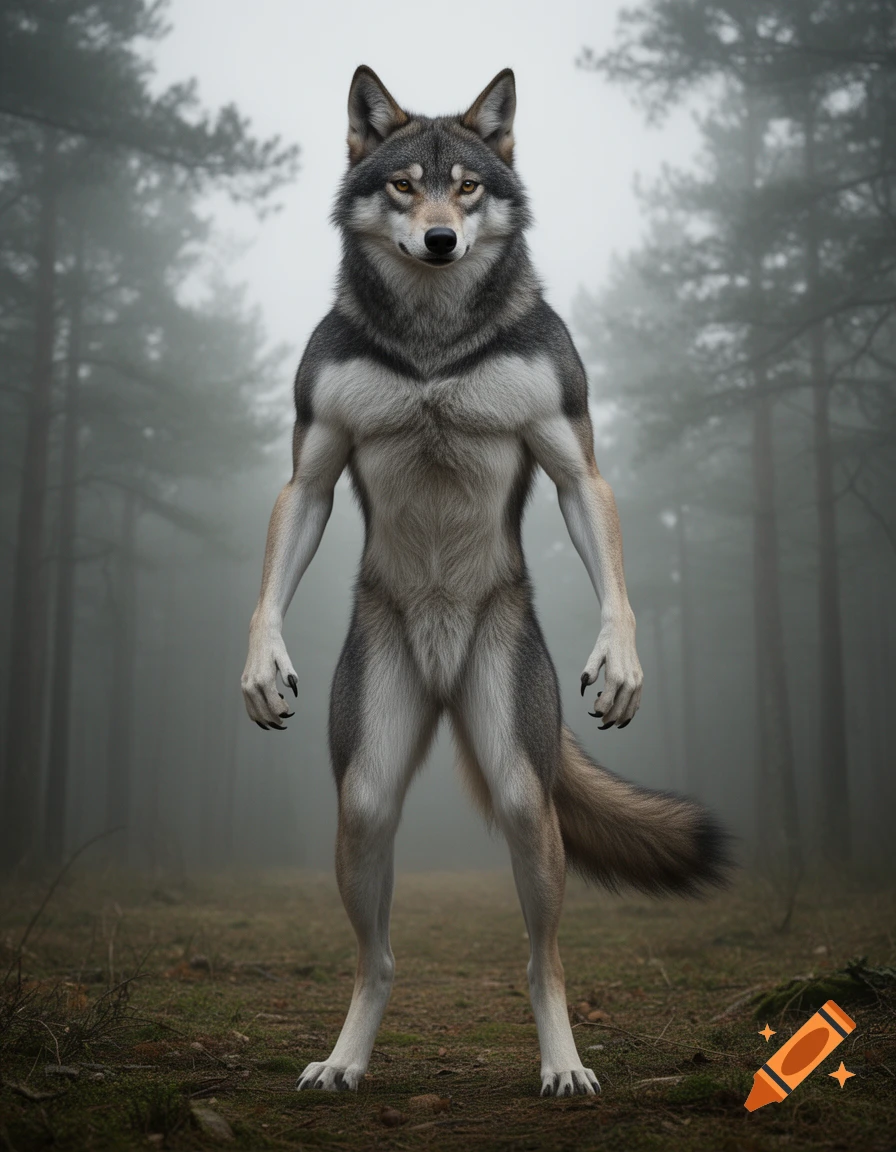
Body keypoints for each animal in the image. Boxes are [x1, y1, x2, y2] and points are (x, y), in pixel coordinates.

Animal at [241, 66, 731, 1098]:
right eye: (403, 185)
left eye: (466, 187)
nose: (440, 239)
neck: (433, 340)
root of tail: (439, 674)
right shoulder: (312, 457)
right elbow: (298, 508)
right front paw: (261, 665)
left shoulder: (569, 447)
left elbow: (588, 499)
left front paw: (619, 661)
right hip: (368, 789)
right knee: (379, 956)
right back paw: (346, 1058)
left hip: (519, 777)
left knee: (542, 957)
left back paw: (564, 1064)